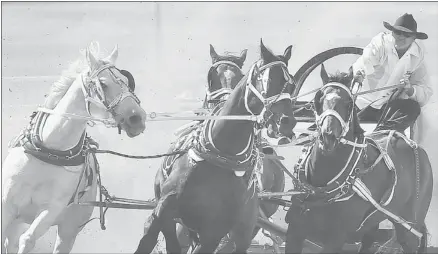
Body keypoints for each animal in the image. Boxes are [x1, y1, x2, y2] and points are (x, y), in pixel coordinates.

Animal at [0, 42, 149, 253]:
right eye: (103, 84)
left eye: (127, 82)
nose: (137, 118)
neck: (50, 150)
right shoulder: (6, 206)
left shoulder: (52, 209)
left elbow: (28, 239)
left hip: (68, 229)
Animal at [135, 39, 296, 254]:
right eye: (268, 79)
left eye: (291, 84)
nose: (286, 121)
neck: (221, 154)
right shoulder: (164, 209)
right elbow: (150, 237)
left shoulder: (216, 230)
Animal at [284, 64, 432, 253]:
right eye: (318, 98)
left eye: (349, 103)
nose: (328, 136)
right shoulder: (295, 230)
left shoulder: (335, 238)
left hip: (409, 224)